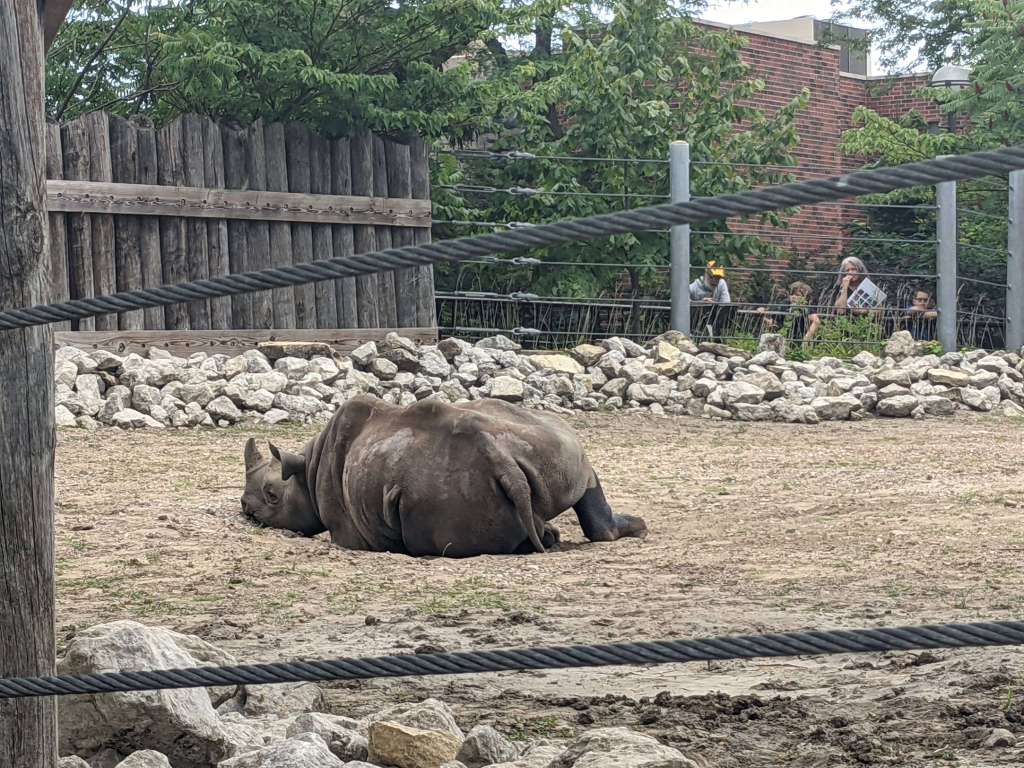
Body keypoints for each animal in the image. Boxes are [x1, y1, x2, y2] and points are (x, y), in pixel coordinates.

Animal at [241, 393, 647, 557]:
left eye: (272, 495)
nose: (245, 508)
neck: (306, 470)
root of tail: (500, 458)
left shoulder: (348, 534)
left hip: (446, 494)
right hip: (552, 440)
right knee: (583, 468)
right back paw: (630, 529)